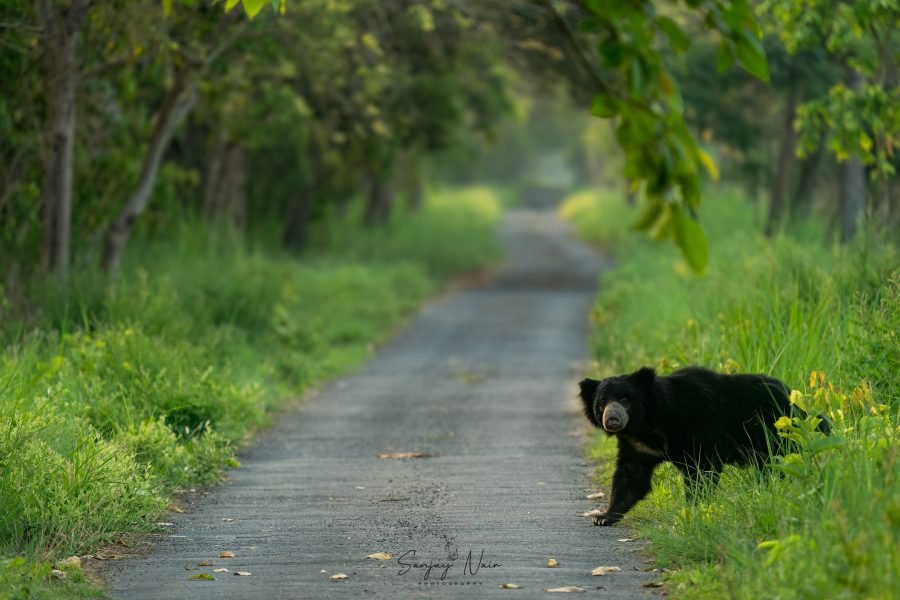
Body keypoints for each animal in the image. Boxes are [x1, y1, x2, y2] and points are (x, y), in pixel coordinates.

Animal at [579, 366, 818, 526]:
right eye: (601, 403)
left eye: (626, 400)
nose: (612, 419)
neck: (650, 425)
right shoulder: (638, 446)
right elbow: (630, 477)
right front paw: (603, 517)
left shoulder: (698, 426)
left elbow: (702, 470)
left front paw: (694, 510)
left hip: (776, 431)